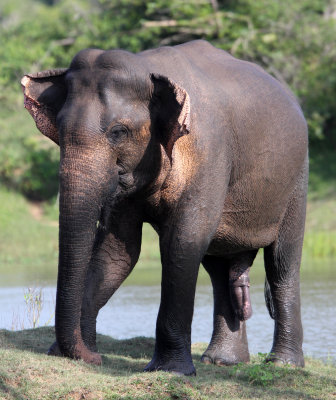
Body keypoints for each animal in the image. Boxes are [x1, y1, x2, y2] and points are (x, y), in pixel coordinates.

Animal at [21, 39, 308, 376]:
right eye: (60, 129)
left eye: (118, 132)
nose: (95, 358)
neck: (148, 67)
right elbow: (118, 252)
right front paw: (71, 353)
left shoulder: (209, 155)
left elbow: (181, 245)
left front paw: (170, 370)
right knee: (218, 268)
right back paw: (222, 361)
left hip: (297, 179)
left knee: (281, 263)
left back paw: (283, 365)